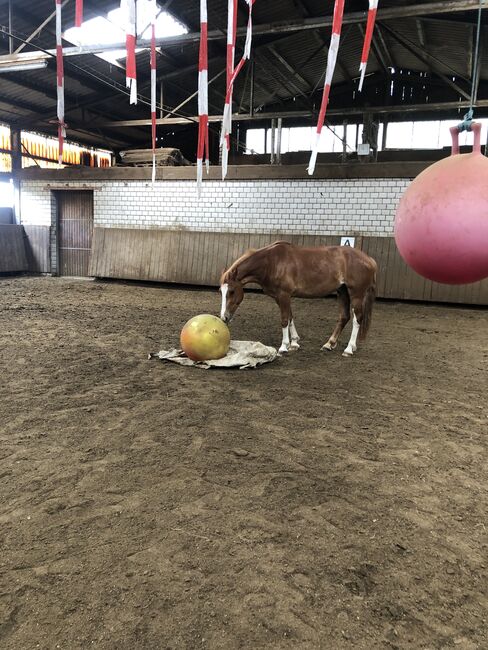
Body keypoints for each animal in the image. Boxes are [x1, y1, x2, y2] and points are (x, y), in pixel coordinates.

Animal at [220, 240, 378, 356]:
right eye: (221, 291)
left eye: (232, 291)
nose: (224, 317)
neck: (271, 262)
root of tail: (369, 259)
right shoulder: (281, 297)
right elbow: (290, 318)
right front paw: (294, 343)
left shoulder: (284, 295)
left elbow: (284, 320)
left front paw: (284, 346)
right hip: (342, 292)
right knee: (344, 317)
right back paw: (329, 344)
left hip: (356, 294)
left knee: (357, 319)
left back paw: (349, 349)